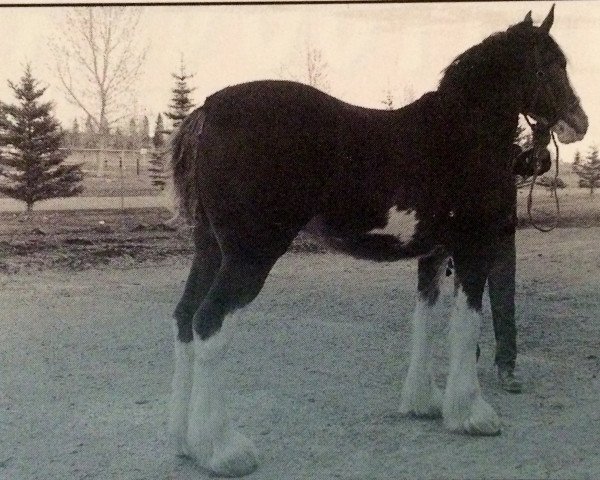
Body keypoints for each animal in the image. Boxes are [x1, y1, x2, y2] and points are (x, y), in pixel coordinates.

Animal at [168, 7, 584, 476]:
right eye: (548, 65)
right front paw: (472, 415)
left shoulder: (434, 254)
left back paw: (185, 443)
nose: (579, 123)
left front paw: (425, 403)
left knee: (185, 319)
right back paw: (222, 451)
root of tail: (209, 110)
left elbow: (426, 319)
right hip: (248, 256)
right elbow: (466, 324)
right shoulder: (473, 250)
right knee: (209, 324)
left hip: (210, 250)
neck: (460, 132)